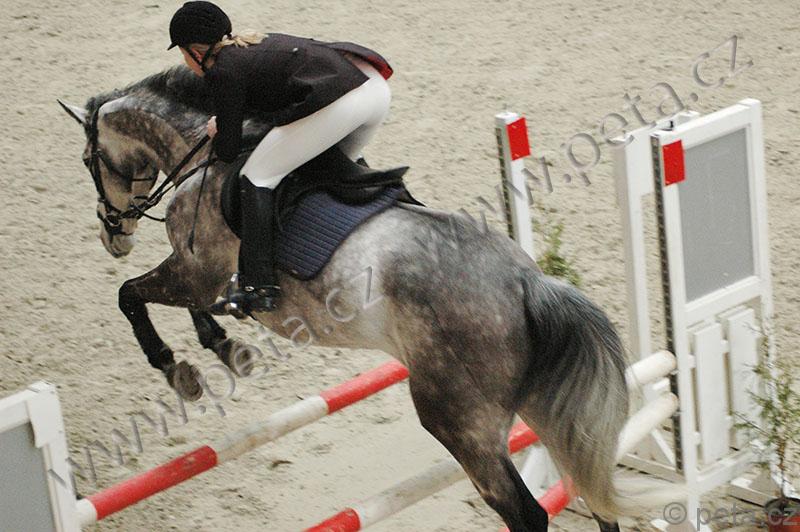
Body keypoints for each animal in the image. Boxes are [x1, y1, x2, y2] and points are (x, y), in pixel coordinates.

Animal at [59, 64, 649, 531]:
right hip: (540, 403)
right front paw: (226, 349)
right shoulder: (199, 275)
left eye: (88, 162)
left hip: (460, 422)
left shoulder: (195, 271)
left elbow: (130, 296)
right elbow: (184, 305)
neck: (203, 156)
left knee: (525, 513)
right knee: (591, 493)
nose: (113, 236)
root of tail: (529, 284)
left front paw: (179, 368)